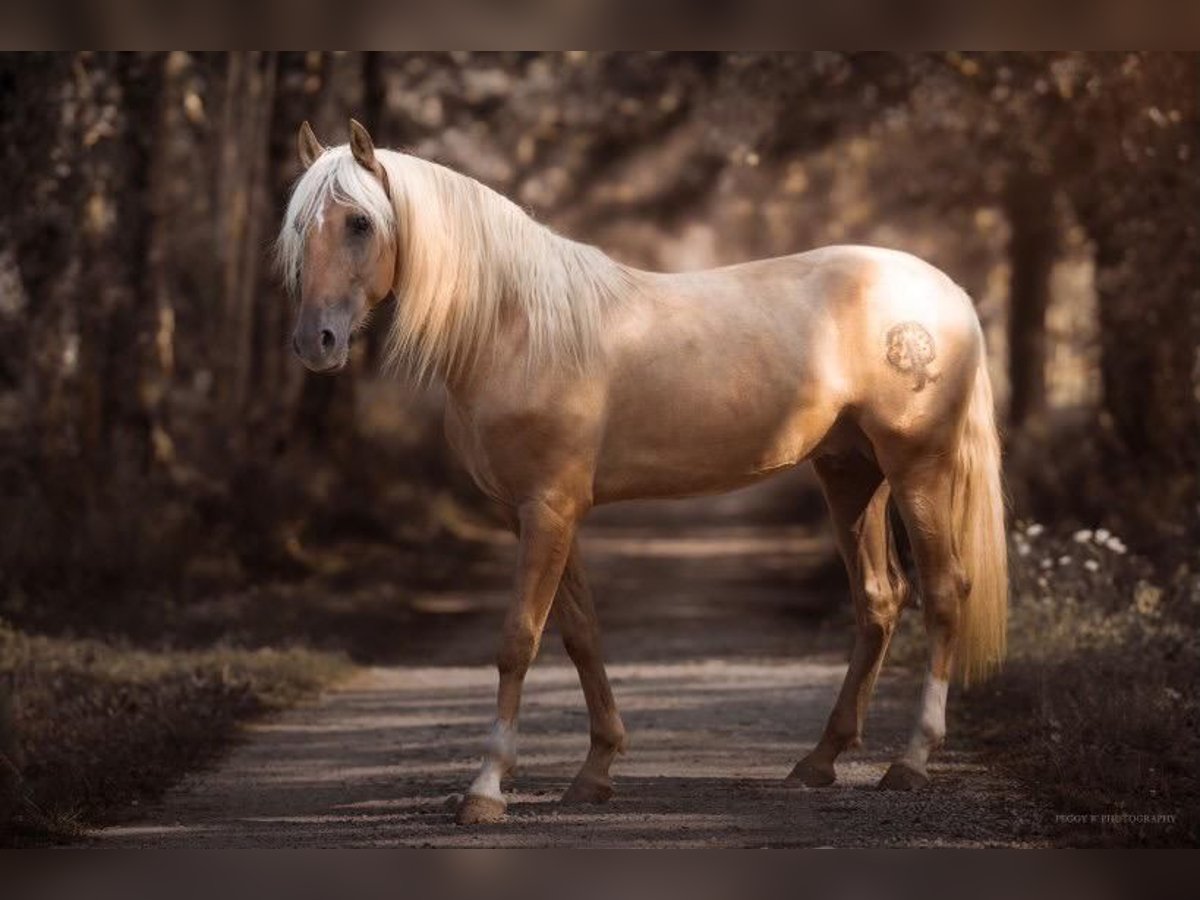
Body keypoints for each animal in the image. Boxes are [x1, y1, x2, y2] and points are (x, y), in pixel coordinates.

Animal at [278, 119, 1008, 826]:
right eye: (299, 226)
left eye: (360, 222)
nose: (316, 342)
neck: (518, 328)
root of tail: (946, 292)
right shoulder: (535, 513)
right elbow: (580, 634)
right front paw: (595, 771)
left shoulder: (548, 507)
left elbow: (519, 639)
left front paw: (486, 789)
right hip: (851, 473)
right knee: (880, 600)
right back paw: (819, 760)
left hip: (918, 468)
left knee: (944, 591)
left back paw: (910, 762)